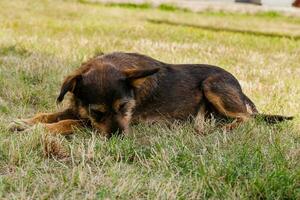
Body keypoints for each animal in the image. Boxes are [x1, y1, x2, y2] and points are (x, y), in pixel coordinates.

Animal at [9, 51, 292, 137]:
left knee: (247, 119)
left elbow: (65, 122)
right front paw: (23, 122)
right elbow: (48, 114)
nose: (119, 137)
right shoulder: (81, 111)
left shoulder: (86, 123)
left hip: (213, 85)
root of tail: (241, 90)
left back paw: (225, 128)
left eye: (125, 107)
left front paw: (38, 131)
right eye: (98, 112)